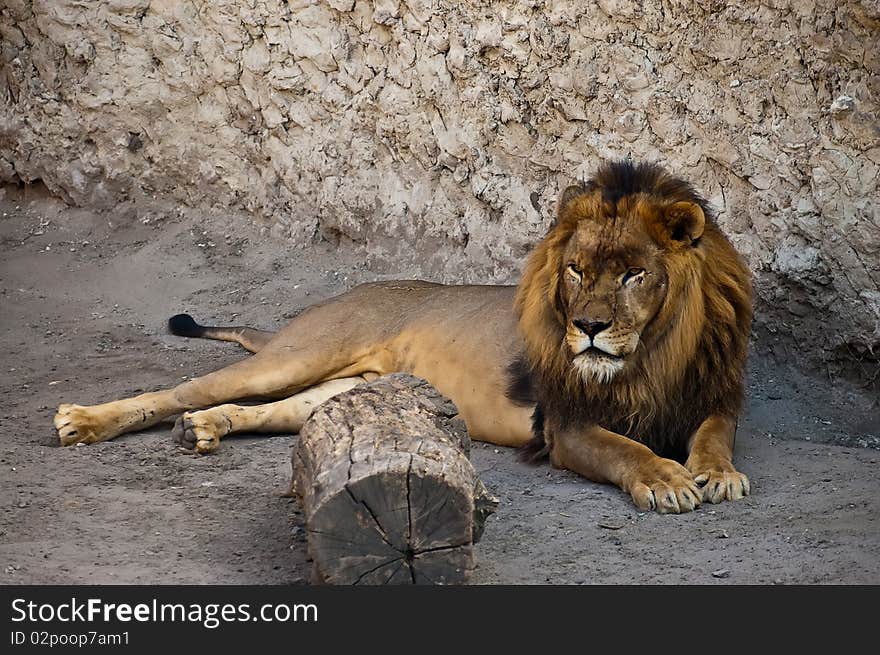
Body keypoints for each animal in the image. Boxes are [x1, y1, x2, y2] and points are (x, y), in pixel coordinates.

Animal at [53, 159, 748, 512]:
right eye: (575, 271)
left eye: (634, 274)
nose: (590, 327)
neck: (654, 355)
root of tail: (345, 295)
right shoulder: (567, 426)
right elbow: (621, 448)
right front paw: (665, 479)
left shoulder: (712, 398)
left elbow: (715, 436)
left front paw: (717, 474)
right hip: (301, 353)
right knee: (182, 390)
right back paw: (84, 421)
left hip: (342, 387)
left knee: (265, 410)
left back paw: (205, 429)